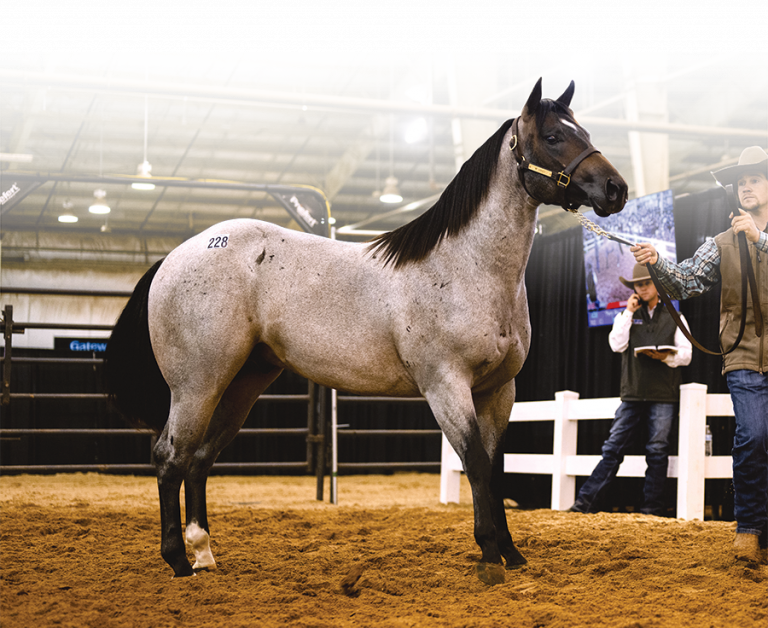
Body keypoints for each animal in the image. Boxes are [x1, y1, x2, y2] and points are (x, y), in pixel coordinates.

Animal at [104, 77, 628, 586]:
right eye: (554, 136)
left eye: (585, 131)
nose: (615, 188)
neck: (468, 267)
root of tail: (174, 256)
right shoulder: (446, 385)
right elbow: (476, 463)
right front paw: (490, 560)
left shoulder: (499, 389)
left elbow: (495, 467)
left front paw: (512, 554)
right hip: (197, 384)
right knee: (170, 456)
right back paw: (177, 560)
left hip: (241, 385)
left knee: (199, 458)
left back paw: (204, 554)